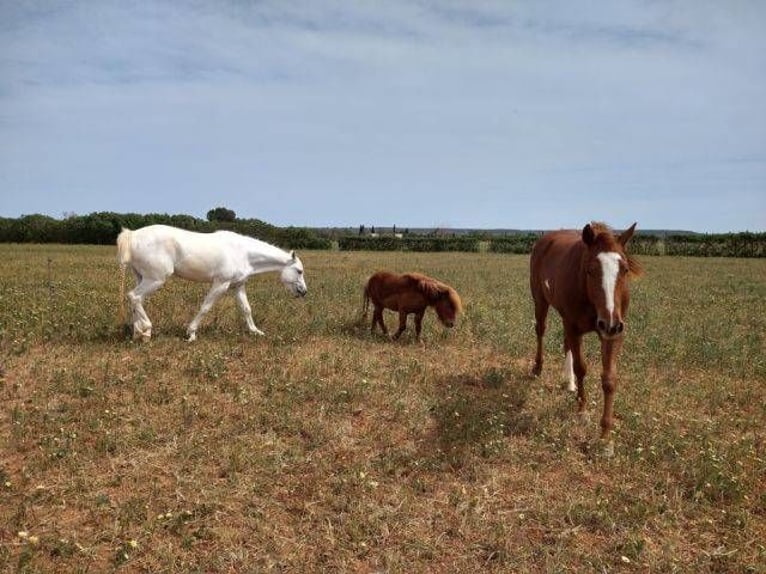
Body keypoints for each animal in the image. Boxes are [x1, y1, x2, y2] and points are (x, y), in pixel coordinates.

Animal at [115, 225, 308, 342]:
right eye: (299, 271)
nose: (304, 292)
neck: (243, 253)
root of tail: (132, 235)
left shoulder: (238, 285)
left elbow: (246, 309)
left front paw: (256, 332)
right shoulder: (221, 284)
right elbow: (205, 307)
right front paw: (191, 333)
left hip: (143, 278)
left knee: (137, 300)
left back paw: (140, 333)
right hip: (156, 279)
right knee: (134, 296)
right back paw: (146, 328)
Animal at [532, 223, 644, 452]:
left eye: (625, 269)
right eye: (591, 270)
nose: (610, 323)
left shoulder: (613, 334)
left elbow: (609, 379)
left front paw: (605, 437)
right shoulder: (576, 327)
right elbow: (581, 368)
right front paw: (582, 410)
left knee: (565, 343)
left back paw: (569, 383)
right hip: (540, 301)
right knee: (541, 330)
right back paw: (538, 367)